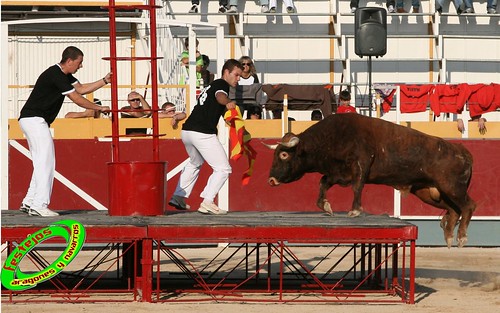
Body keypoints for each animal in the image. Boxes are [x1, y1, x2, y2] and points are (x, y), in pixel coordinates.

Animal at [270, 113, 476, 247]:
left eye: (283, 155)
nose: (271, 180)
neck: (331, 137)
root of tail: (462, 150)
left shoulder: (361, 163)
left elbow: (357, 187)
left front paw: (354, 211)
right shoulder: (338, 172)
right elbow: (323, 182)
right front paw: (326, 206)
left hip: (452, 188)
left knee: (468, 206)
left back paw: (462, 237)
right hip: (430, 193)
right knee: (453, 210)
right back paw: (449, 237)